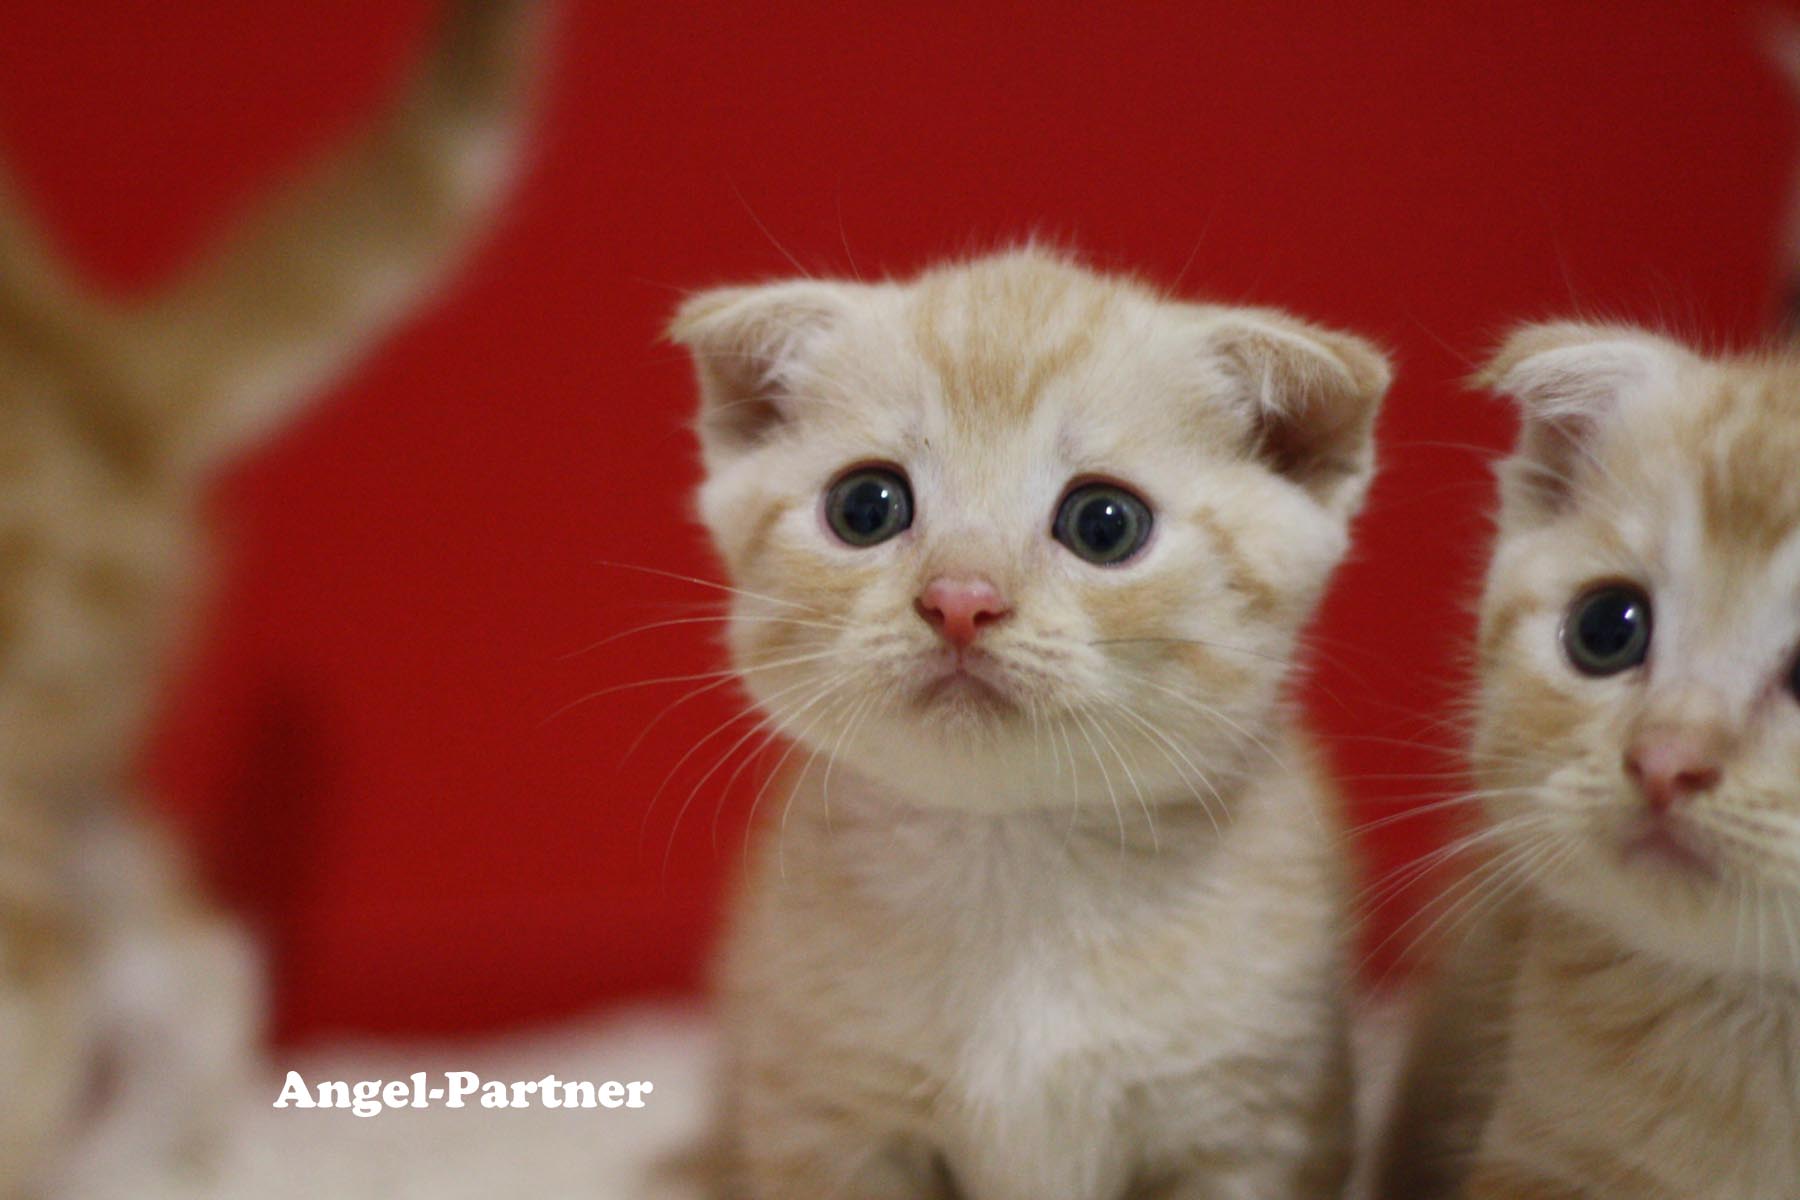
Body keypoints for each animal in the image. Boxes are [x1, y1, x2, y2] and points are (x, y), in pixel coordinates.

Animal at [676, 248, 1389, 1194]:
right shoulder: (830, 1117)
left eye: (1104, 523)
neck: (1012, 859)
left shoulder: (1250, 1128)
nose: (960, 600)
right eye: (866, 507)